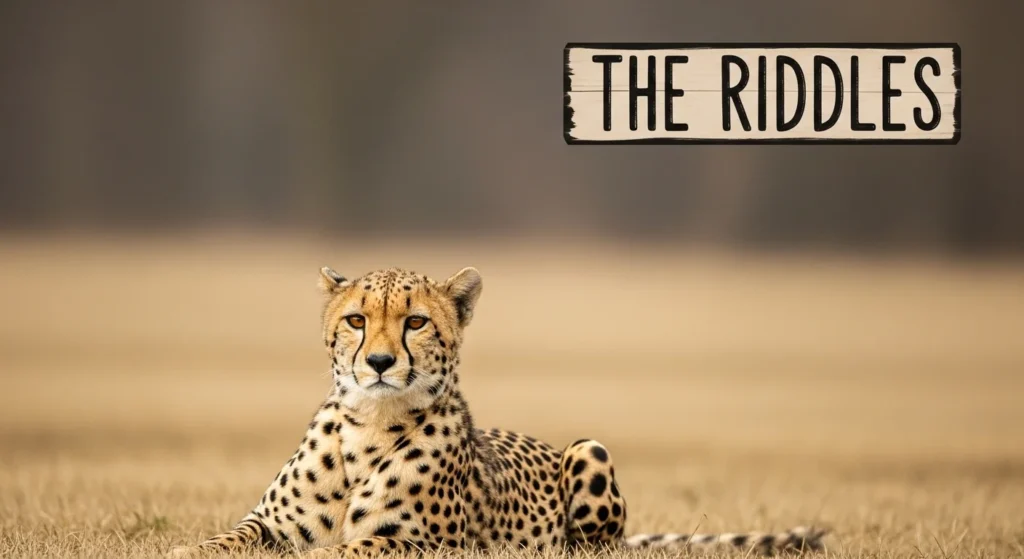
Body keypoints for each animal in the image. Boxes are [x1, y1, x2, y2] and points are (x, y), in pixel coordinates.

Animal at [170, 266, 828, 557]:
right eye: (356, 319)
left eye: (415, 322)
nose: (379, 362)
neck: (369, 431)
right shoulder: (272, 524)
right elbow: (227, 538)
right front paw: (193, 549)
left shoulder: (428, 547)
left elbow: (350, 549)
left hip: (589, 452)